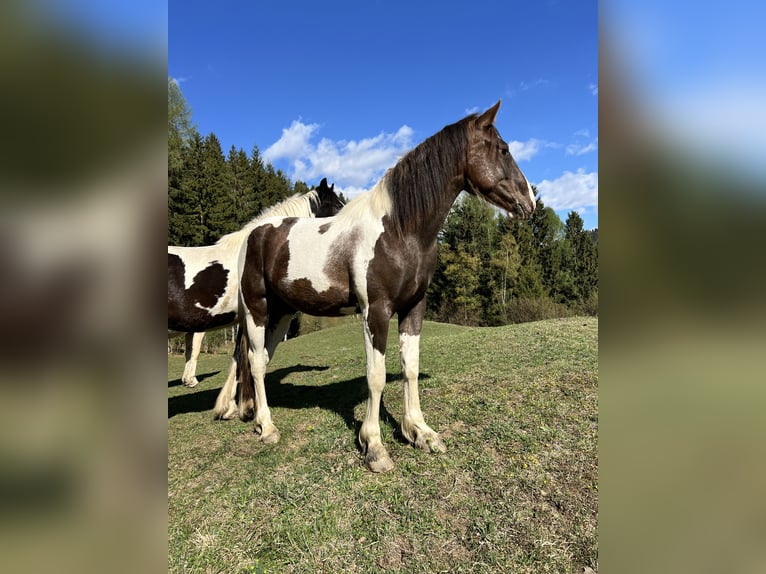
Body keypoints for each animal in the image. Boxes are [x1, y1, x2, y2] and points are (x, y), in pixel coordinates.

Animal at [236, 101, 536, 472]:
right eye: (504, 149)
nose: (530, 202)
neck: (399, 230)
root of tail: (255, 233)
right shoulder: (375, 312)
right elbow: (376, 376)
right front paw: (374, 446)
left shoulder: (414, 307)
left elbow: (410, 367)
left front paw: (419, 432)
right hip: (257, 309)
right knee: (255, 362)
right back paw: (267, 427)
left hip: (281, 314)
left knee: (260, 360)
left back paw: (258, 418)